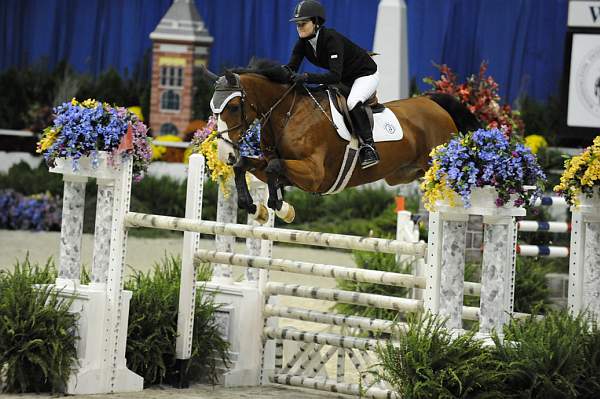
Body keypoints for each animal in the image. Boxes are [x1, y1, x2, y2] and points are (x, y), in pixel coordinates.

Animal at [204, 62, 480, 225]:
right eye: (213, 109)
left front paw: (282, 208)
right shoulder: (283, 168)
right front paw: (255, 208)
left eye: (233, 106)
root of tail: (432, 103)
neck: (287, 113)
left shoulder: (314, 175)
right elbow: (246, 165)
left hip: (436, 170)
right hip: (405, 174)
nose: (225, 154)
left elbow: (274, 168)